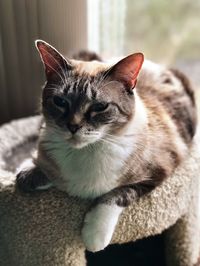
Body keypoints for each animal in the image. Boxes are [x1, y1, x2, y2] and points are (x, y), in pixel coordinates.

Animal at [16, 39, 197, 251]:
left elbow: (115, 195)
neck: (87, 151)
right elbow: (35, 168)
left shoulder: (157, 173)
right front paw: (28, 170)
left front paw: (94, 237)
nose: (73, 127)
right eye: (60, 101)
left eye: (100, 107)